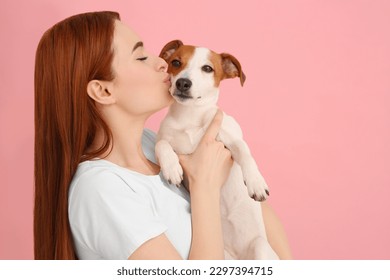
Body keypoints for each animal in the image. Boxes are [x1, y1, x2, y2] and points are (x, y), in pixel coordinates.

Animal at [154, 40, 278, 260]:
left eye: (207, 68)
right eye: (176, 62)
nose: (183, 83)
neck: (190, 117)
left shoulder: (231, 138)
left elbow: (245, 152)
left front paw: (256, 182)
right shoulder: (166, 139)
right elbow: (161, 144)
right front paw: (172, 168)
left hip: (261, 247)